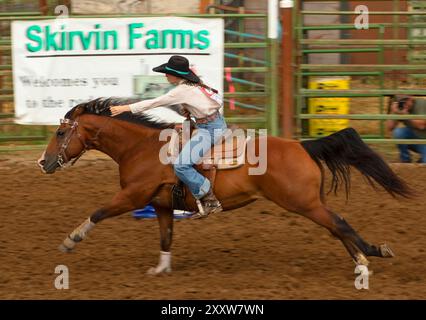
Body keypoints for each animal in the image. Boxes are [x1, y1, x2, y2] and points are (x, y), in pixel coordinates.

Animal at [38, 98, 412, 276]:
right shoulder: (160, 205)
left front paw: (71, 239)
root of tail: (302, 146)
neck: (141, 148)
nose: (43, 162)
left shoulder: (133, 196)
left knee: (340, 224)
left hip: (302, 203)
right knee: (337, 226)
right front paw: (161, 269)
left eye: (60, 132)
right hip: (310, 202)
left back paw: (369, 256)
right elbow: (166, 236)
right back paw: (364, 258)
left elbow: (99, 211)